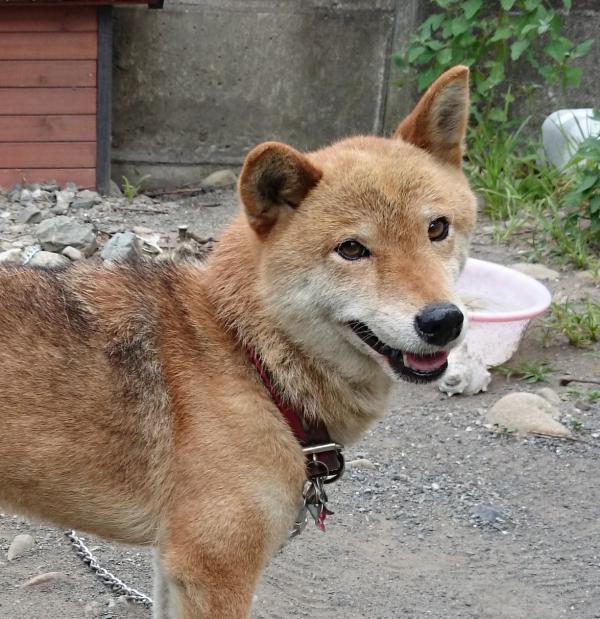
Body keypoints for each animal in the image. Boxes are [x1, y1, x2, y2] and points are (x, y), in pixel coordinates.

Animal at [0, 65, 478, 616]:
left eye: (437, 228)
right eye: (352, 249)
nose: (443, 321)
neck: (252, 361)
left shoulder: (174, 568)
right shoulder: (214, 571)